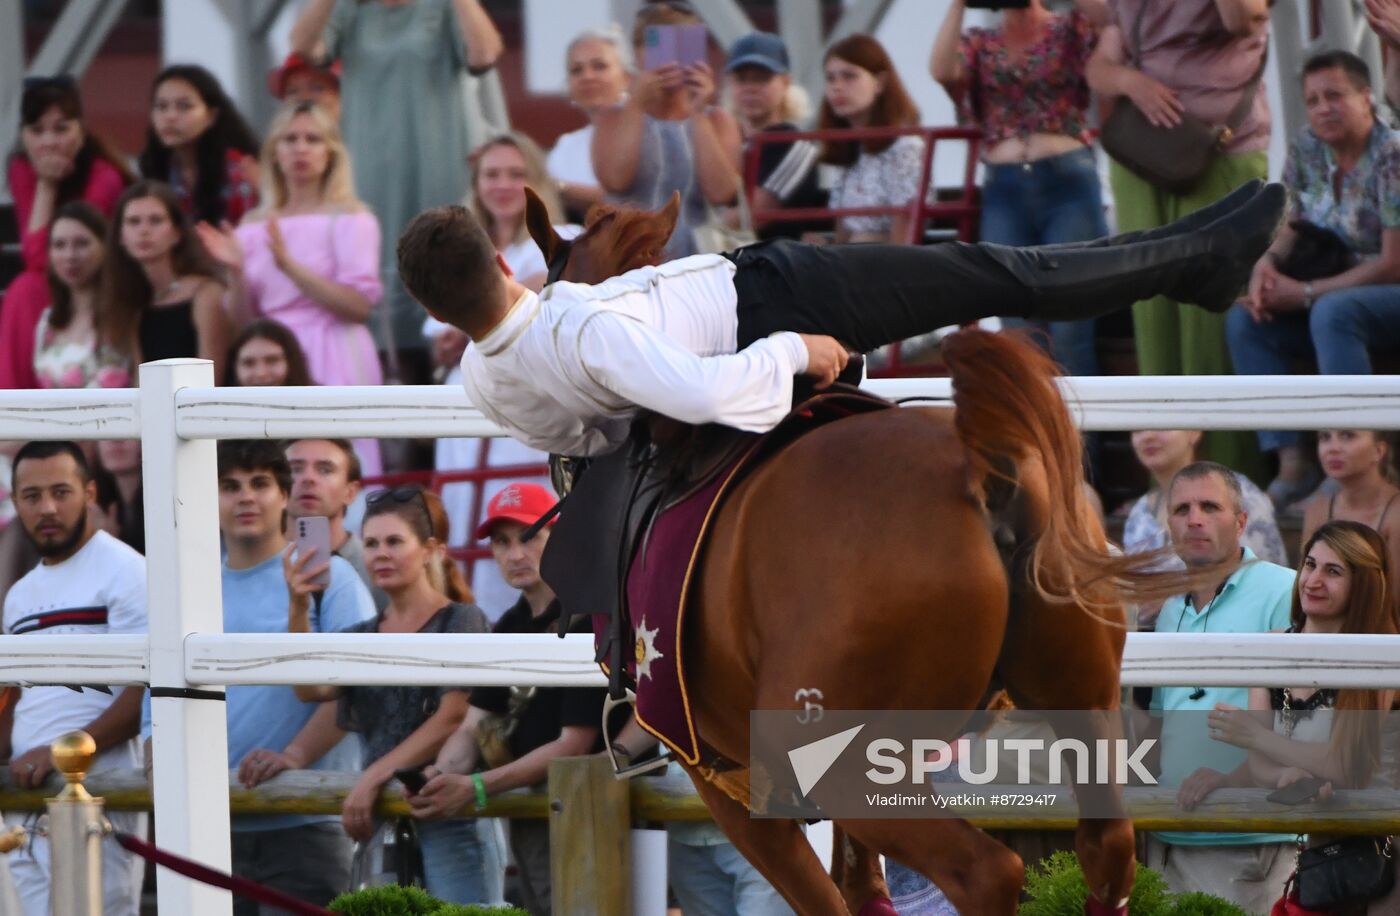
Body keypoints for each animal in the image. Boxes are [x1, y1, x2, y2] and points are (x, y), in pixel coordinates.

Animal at [526, 190, 1192, 913]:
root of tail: (983, 468)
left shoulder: (728, 779)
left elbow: (824, 897)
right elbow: (863, 888)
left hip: (841, 762)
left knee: (987, 870)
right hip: (1081, 703)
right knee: (1106, 847)